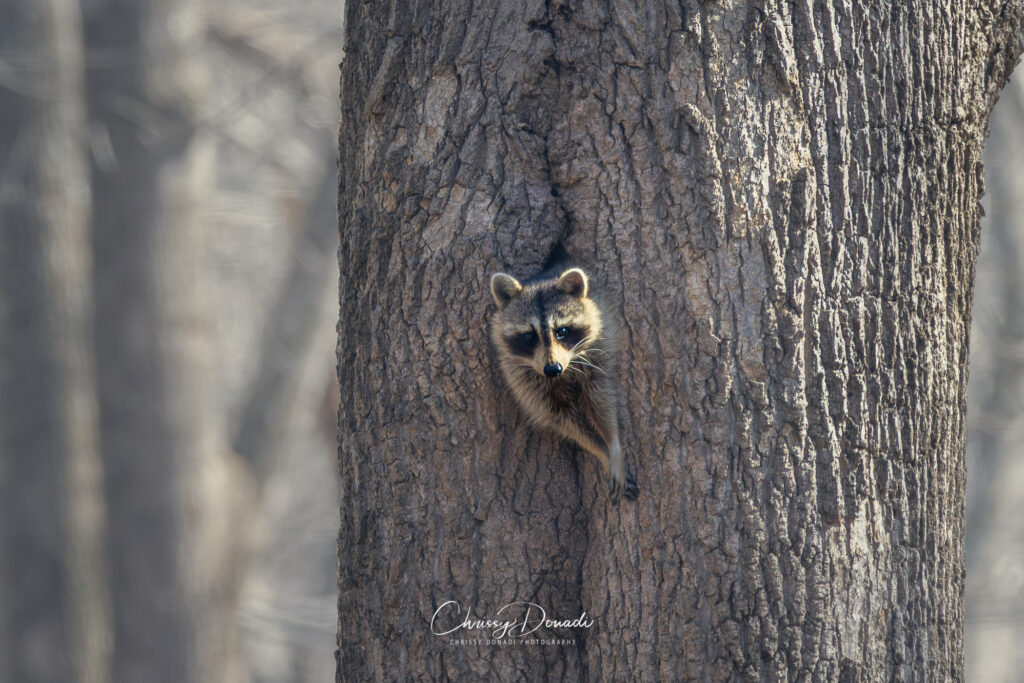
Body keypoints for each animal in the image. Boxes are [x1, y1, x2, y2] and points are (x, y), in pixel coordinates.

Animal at [489, 254, 639, 502]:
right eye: (529, 336)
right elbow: (561, 416)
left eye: (562, 331)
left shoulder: (599, 349)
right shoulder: (522, 377)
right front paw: (601, 450)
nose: (553, 369)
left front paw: (613, 444)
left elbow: (600, 399)